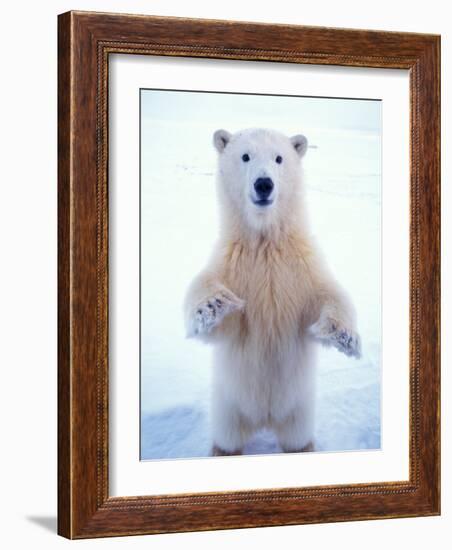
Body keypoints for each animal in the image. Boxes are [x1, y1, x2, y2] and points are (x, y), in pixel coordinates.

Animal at [184, 128, 360, 458]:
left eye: (279, 158)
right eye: (245, 156)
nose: (263, 184)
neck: (265, 242)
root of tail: (264, 419)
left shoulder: (300, 266)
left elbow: (327, 294)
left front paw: (344, 335)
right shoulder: (233, 263)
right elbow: (210, 301)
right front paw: (214, 304)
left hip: (299, 409)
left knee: (297, 439)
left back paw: (303, 447)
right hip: (228, 406)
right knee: (228, 438)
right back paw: (222, 450)